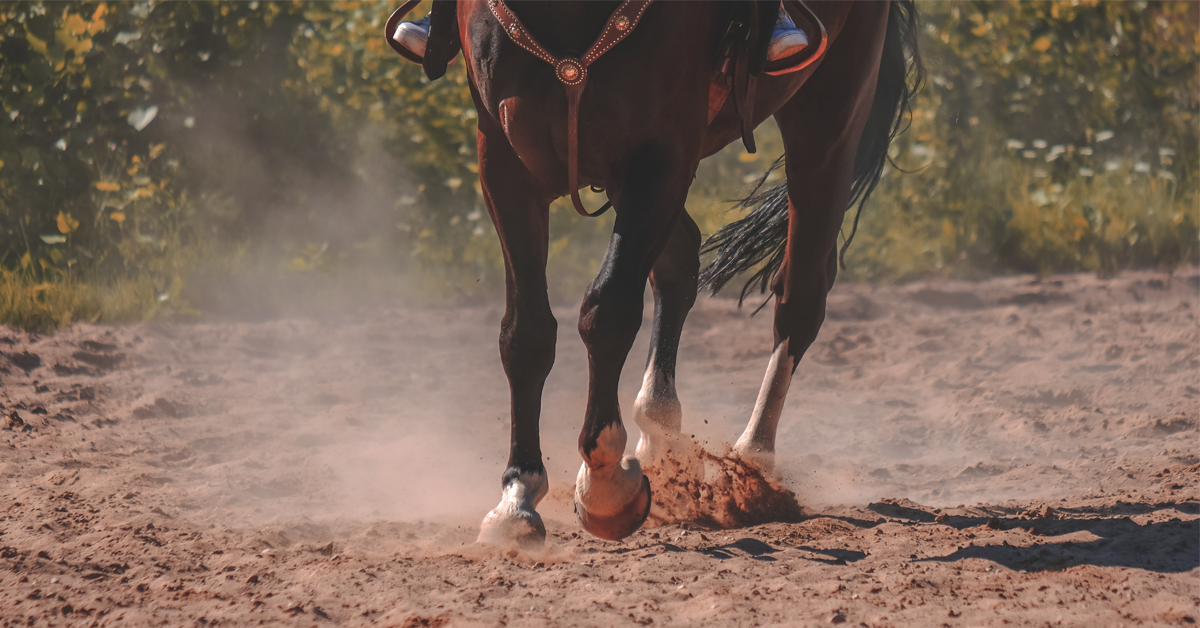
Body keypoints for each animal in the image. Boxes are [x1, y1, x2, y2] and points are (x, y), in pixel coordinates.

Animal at [387, 0, 921, 548]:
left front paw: (605, 485)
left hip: (830, 112)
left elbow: (608, 310)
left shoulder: (660, 156)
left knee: (800, 292)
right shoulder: (504, 158)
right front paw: (517, 497)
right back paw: (660, 431)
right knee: (680, 262)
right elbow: (526, 332)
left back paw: (752, 460)